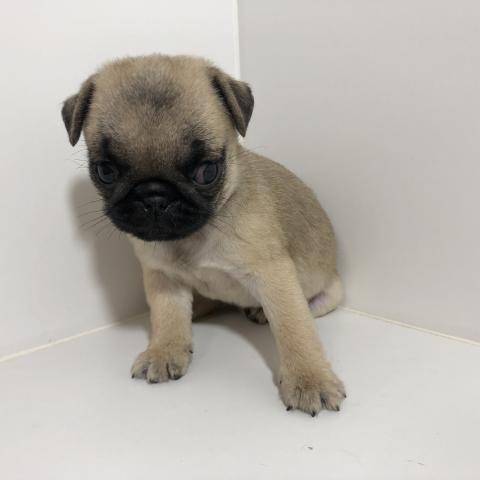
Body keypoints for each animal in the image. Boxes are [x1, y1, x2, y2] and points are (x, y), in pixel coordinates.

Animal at [61, 54, 346, 416]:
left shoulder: (273, 276)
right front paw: (164, 351)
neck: (192, 237)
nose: (154, 196)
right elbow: (168, 318)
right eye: (105, 171)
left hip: (328, 292)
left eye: (207, 171)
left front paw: (309, 379)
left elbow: (294, 328)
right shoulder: (162, 277)